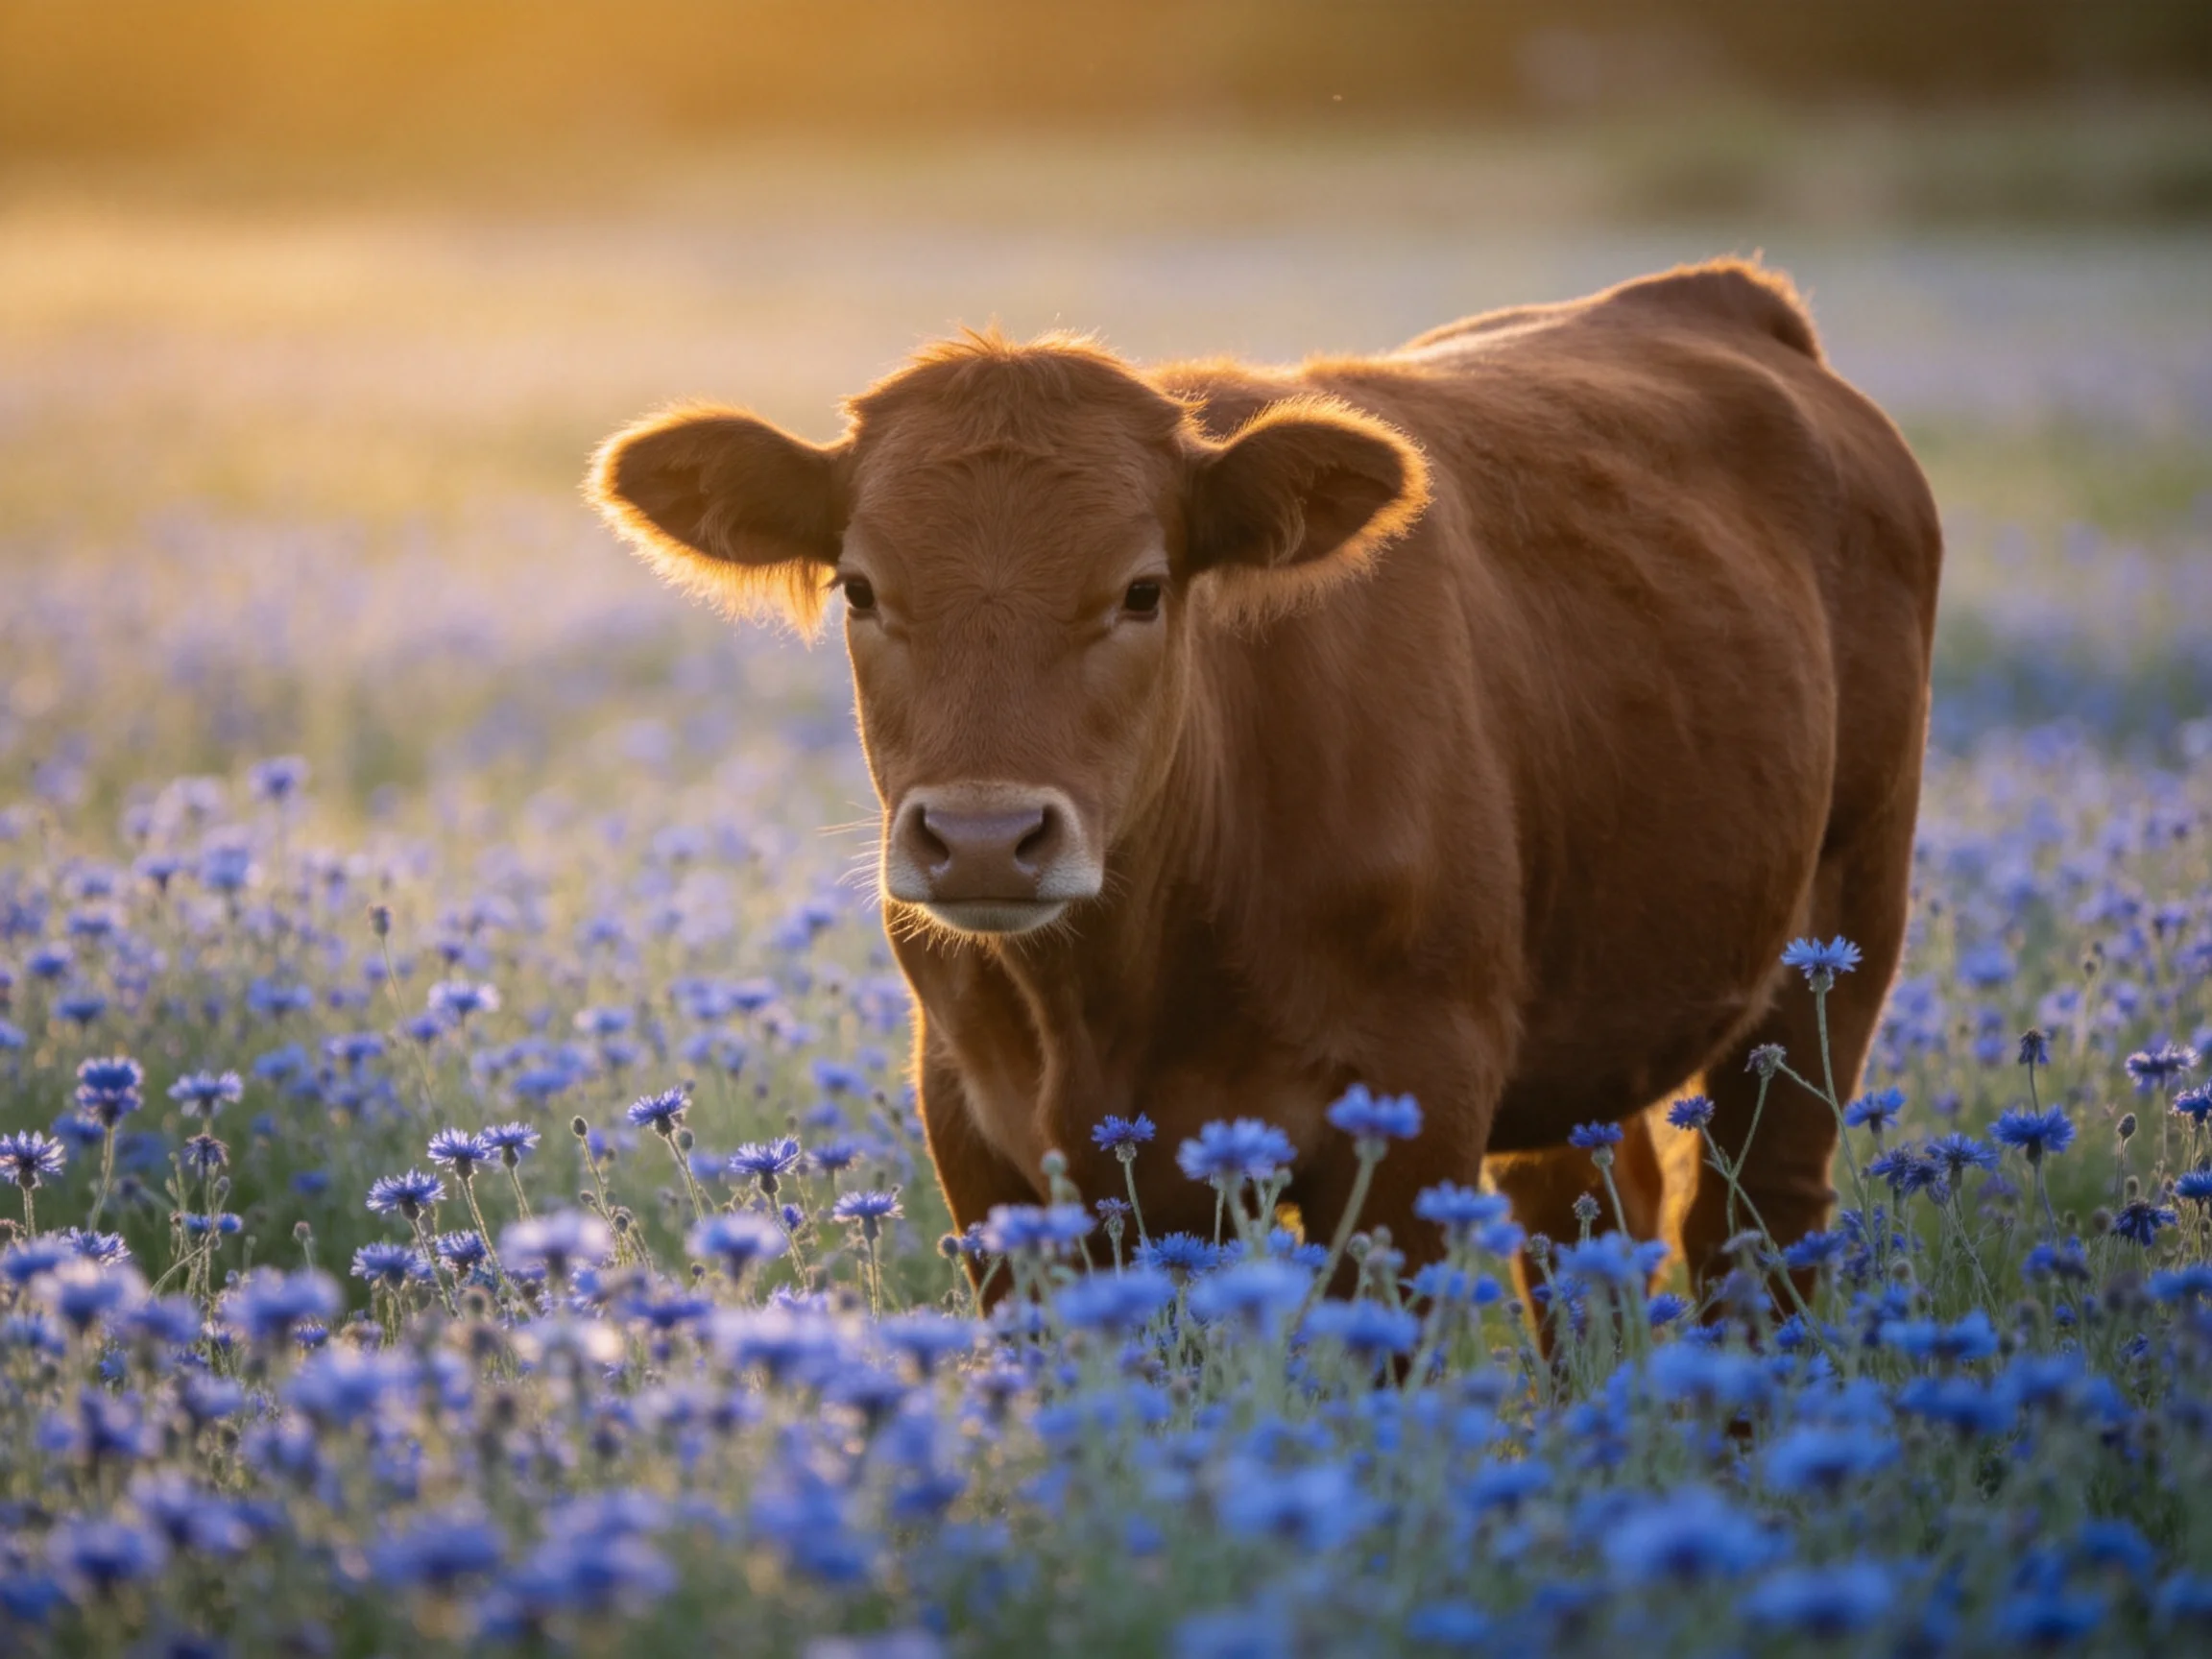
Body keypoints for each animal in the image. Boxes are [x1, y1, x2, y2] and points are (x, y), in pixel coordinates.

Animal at [588, 259, 1942, 1305]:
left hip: (1837, 935)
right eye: (862, 588)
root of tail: (1720, 296)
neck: (1112, 991)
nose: (981, 838)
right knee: (1587, 1230)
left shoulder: (1411, 1117)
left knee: (1754, 1231)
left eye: (1143, 589)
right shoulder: (985, 1145)